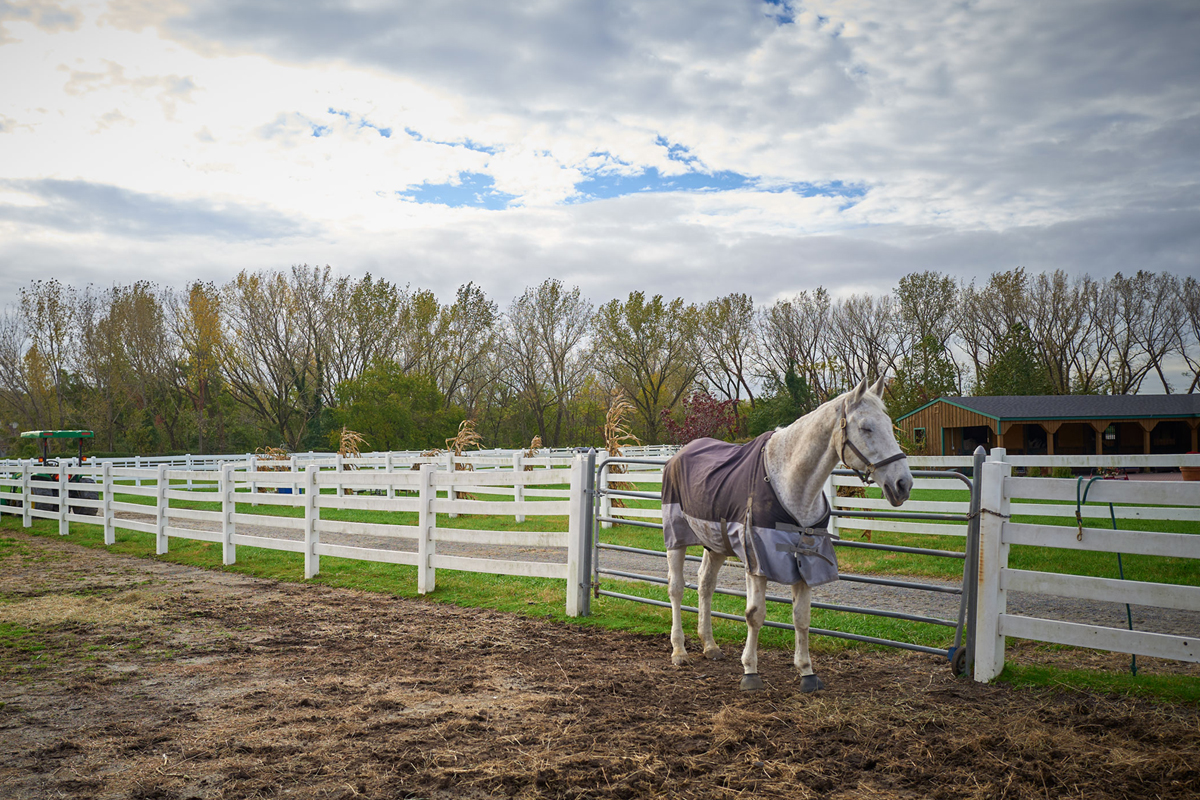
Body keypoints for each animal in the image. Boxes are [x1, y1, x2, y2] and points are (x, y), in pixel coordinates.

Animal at [662, 377, 913, 692]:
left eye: (889, 425)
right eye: (866, 427)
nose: (903, 484)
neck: (790, 483)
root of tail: (678, 454)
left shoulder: (805, 559)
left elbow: (802, 618)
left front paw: (807, 672)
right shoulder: (757, 562)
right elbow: (755, 615)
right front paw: (750, 672)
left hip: (715, 544)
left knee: (705, 586)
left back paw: (710, 646)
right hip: (676, 539)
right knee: (676, 588)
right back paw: (679, 651)